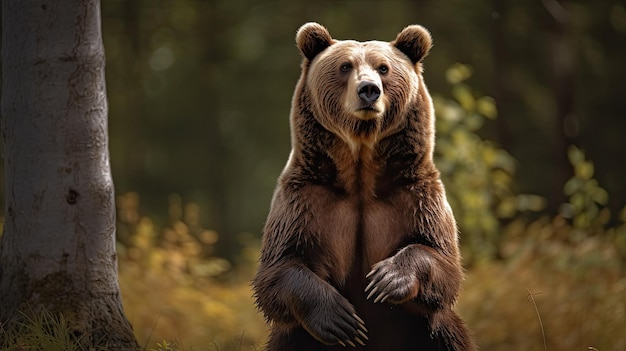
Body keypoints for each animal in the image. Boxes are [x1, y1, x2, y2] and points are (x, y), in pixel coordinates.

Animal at [249, 22, 472, 351]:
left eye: (384, 68)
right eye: (345, 66)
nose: (369, 90)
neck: (360, 172)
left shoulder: (414, 195)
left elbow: (441, 260)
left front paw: (387, 279)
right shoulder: (306, 199)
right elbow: (279, 268)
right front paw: (341, 319)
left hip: (427, 332)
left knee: (447, 332)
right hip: (297, 337)